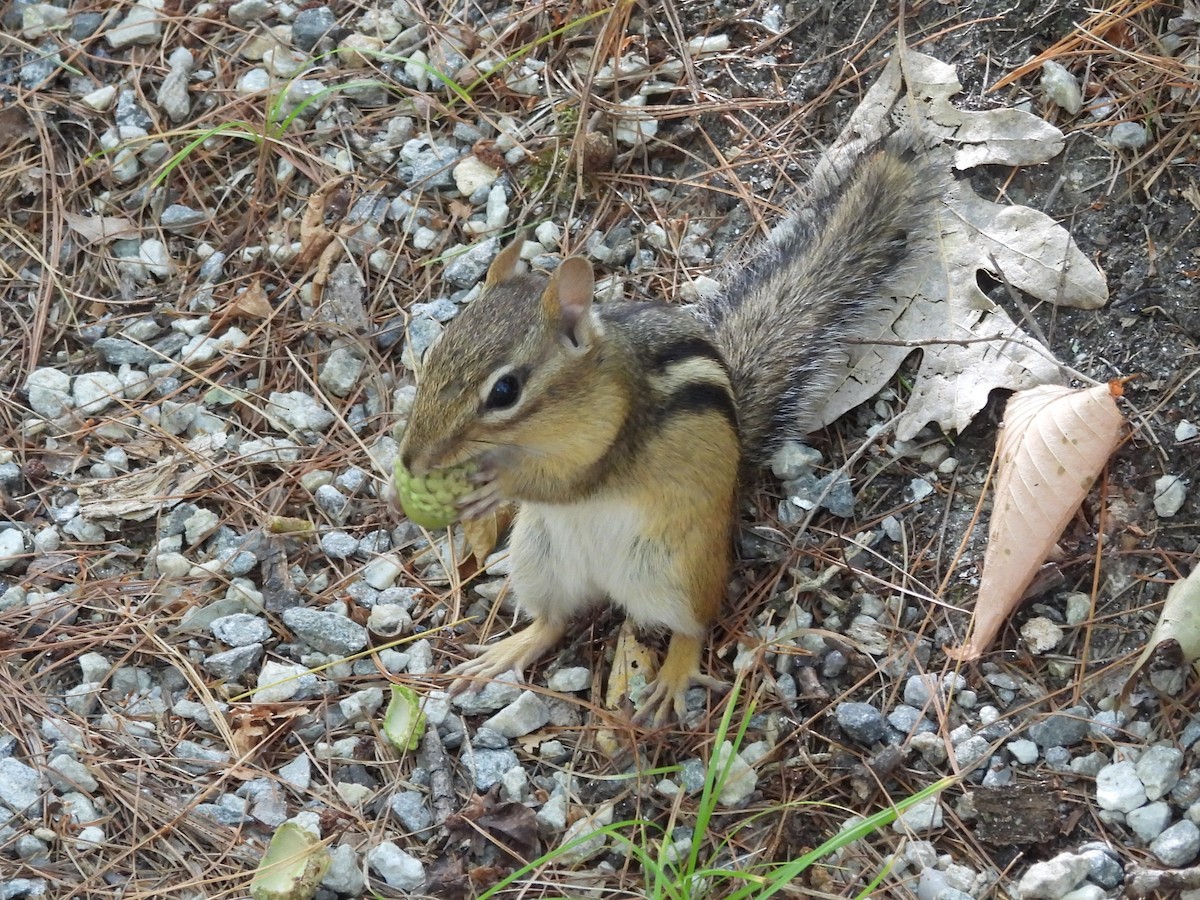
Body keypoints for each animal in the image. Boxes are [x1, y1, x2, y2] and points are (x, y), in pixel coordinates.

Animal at [397, 143, 941, 725]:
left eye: (504, 391)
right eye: (435, 349)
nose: (410, 460)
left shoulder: (615, 441)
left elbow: (565, 483)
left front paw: (495, 482)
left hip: (675, 572)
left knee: (694, 625)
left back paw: (674, 675)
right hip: (537, 560)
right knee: (552, 620)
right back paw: (508, 652)